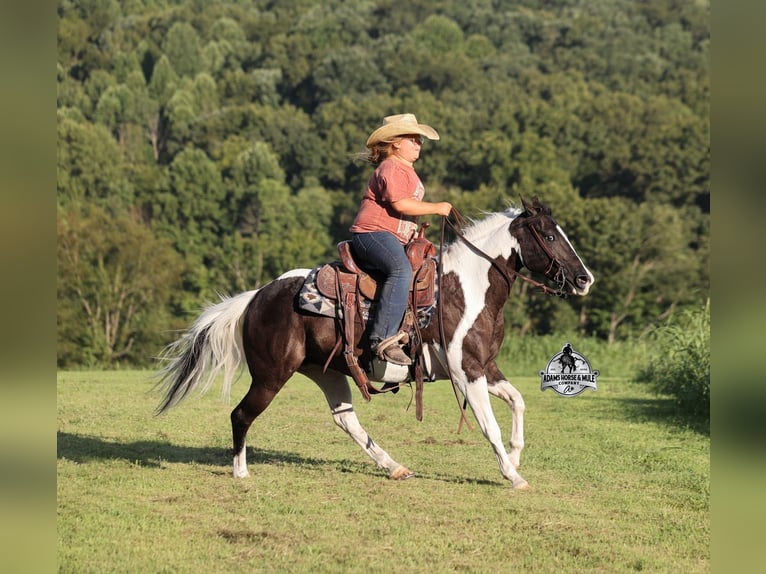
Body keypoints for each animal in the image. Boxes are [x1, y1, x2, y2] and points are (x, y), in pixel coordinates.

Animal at [155, 197, 594, 489]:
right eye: (550, 235)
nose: (584, 279)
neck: (466, 288)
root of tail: (257, 297)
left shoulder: (485, 366)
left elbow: (518, 402)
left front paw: (516, 457)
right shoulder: (466, 371)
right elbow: (489, 426)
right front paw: (512, 475)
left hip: (326, 371)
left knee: (345, 418)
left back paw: (394, 466)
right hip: (271, 375)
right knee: (241, 415)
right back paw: (241, 471)